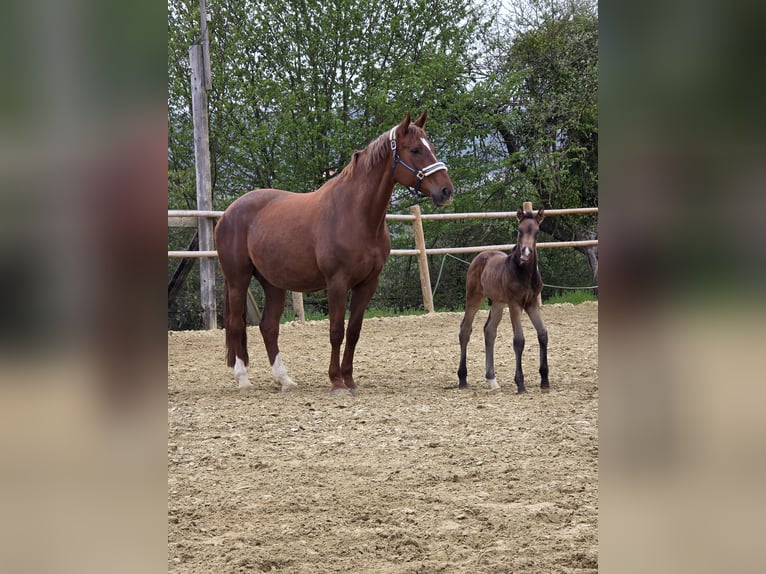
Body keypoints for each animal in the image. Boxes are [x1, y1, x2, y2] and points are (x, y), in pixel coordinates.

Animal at [215, 111, 454, 394]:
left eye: (432, 147)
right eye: (415, 149)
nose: (446, 191)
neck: (355, 214)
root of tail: (228, 213)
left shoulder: (367, 284)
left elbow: (353, 332)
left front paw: (349, 379)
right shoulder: (337, 282)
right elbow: (336, 331)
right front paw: (337, 381)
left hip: (273, 284)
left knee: (268, 327)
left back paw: (284, 379)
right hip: (238, 280)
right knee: (236, 324)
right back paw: (242, 378)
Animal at [456, 208, 549, 393]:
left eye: (537, 232)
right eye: (519, 230)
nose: (526, 252)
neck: (524, 273)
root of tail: (480, 256)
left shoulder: (532, 303)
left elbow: (543, 334)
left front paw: (544, 380)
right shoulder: (515, 304)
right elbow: (519, 340)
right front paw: (520, 384)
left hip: (498, 303)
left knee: (489, 331)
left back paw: (492, 380)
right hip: (474, 298)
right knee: (465, 330)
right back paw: (462, 378)